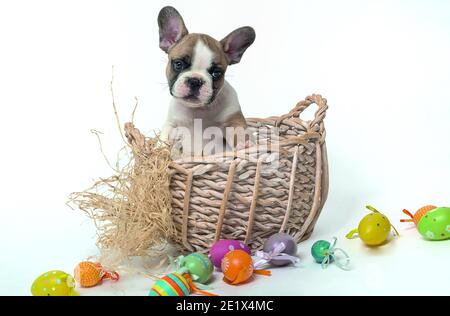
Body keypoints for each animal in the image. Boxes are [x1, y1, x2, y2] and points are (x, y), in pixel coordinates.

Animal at [157, 5, 256, 156]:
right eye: (178, 64)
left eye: (216, 73)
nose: (195, 81)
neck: (198, 110)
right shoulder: (171, 123)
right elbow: (164, 137)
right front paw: (159, 150)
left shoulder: (233, 118)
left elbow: (238, 131)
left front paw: (243, 145)